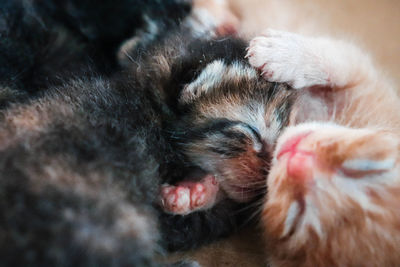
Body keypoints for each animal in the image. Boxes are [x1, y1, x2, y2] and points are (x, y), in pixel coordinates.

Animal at [247, 29, 400, 267]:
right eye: (365, 166)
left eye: (296, 219)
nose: (296, 156)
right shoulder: (367, 81)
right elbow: (339, 63)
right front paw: (283, 52)